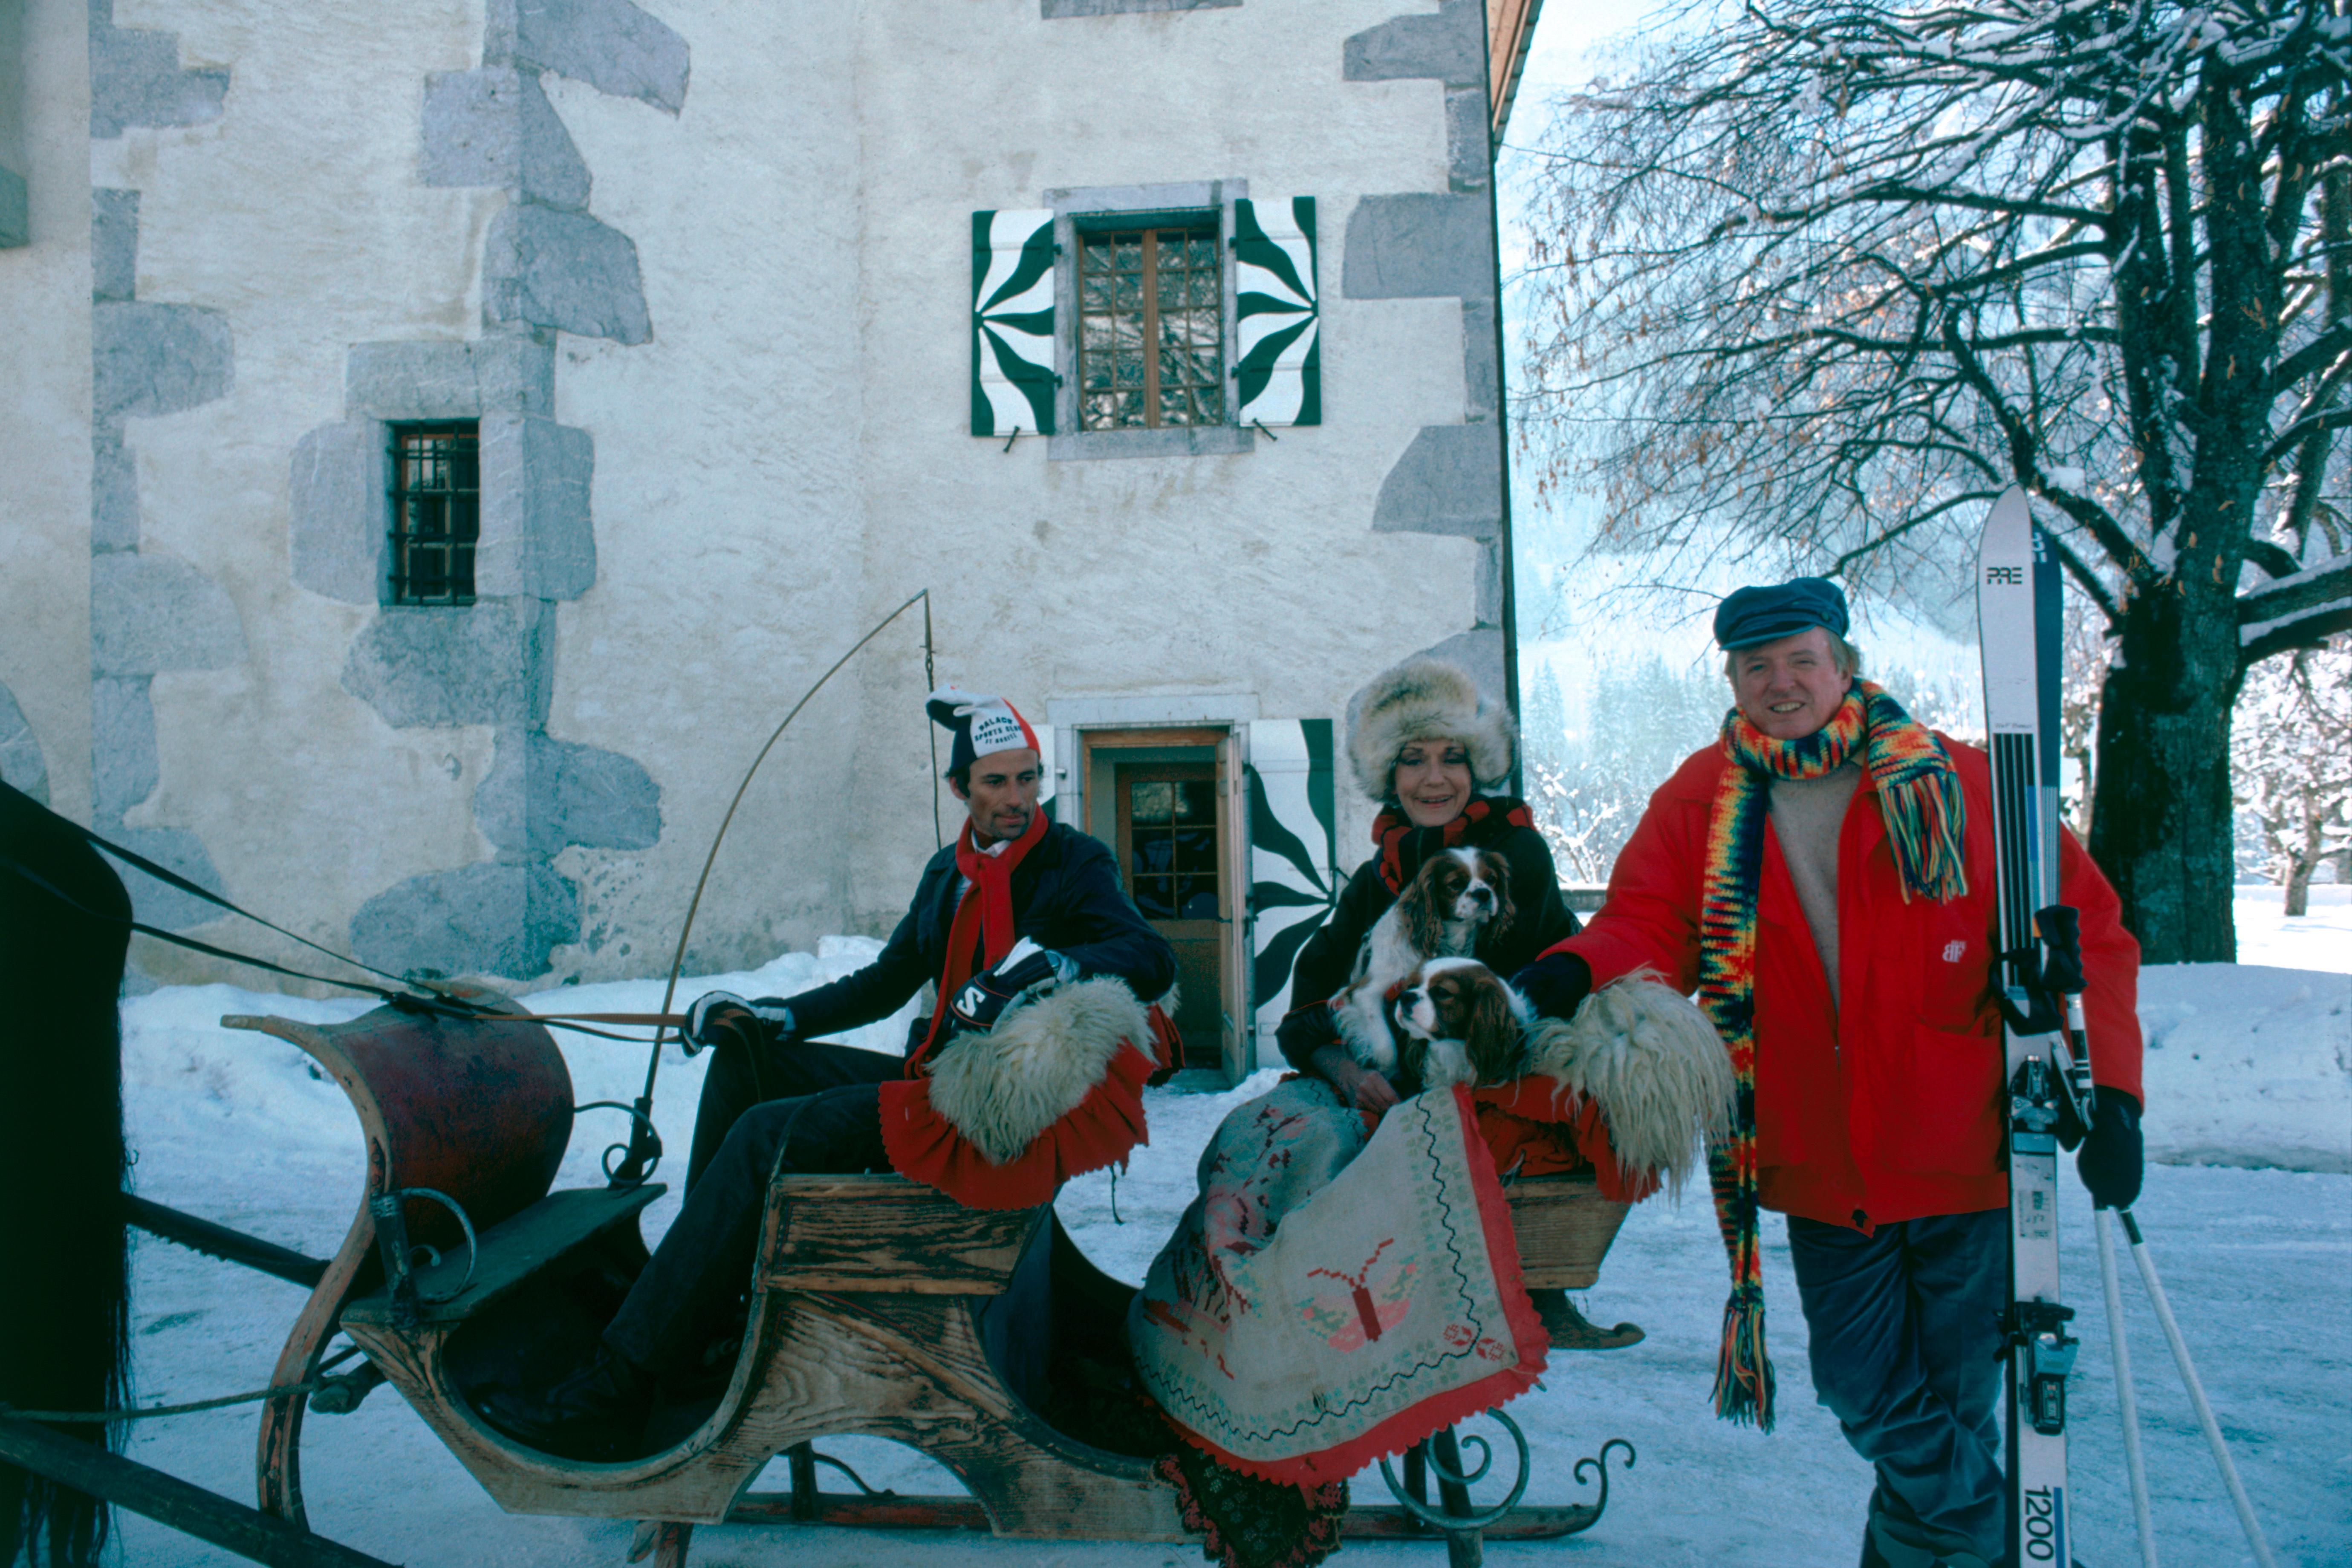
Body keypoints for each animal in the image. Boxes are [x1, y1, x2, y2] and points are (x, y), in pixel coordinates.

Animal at [1336, 846, 1514, 1081]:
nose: (1484, 893)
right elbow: (1386, 1049)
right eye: (1456, 883)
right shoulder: (1365, 992)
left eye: (1492, 880)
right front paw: (1388, 1073)